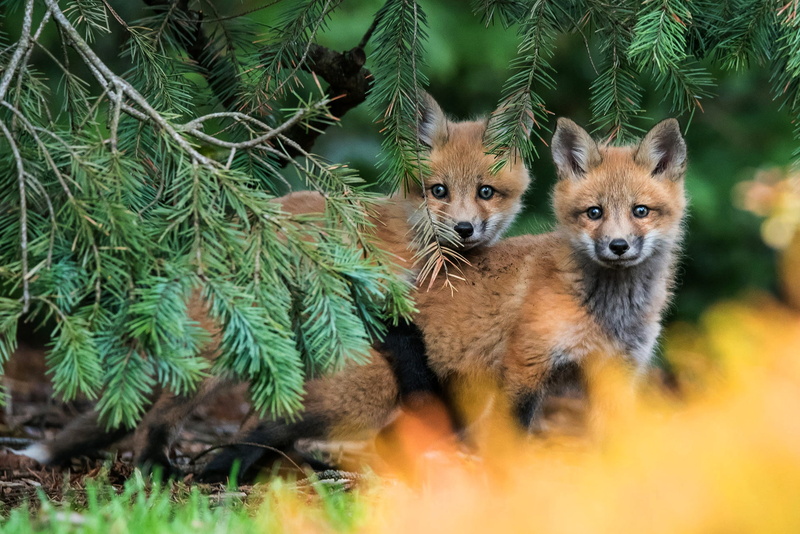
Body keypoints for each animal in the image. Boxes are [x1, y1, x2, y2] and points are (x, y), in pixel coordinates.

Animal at [18, 92, 531, 473]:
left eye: (485, 192)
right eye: (438, 190)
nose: (464, 229)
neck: (417, 245)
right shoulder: (370, 295)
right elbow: (412, 361)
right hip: (214, 363)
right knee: (158, 420)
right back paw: (159, 469)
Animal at [196, 117, 688, 482]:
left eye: (640, 211)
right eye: (594, 213)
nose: (618, 247)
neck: (607, 313)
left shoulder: (620, 373)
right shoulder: (525, 367)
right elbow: (514, 438)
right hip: (365, 395)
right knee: (271, 425)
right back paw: (218, 471)